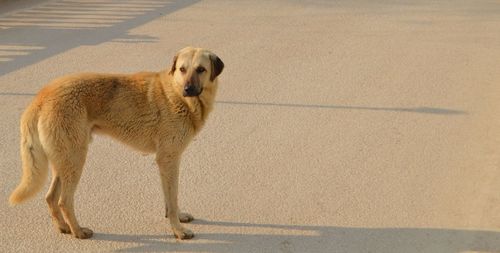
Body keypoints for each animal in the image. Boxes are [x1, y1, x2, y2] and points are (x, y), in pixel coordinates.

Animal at [8, 47, 224, 239]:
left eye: (201, 69)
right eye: (182, 69)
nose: (188, 89)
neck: (177, 95)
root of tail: (42, 96)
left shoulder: (167, 162)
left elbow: (171, 198)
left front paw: (178, 217)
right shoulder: (168, 159)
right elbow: (172, 198)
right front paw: (178, 231)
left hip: (64, 161)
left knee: (51, 197)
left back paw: (63, 227)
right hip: (75, 159)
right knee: (64, 201)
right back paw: (78, 232)